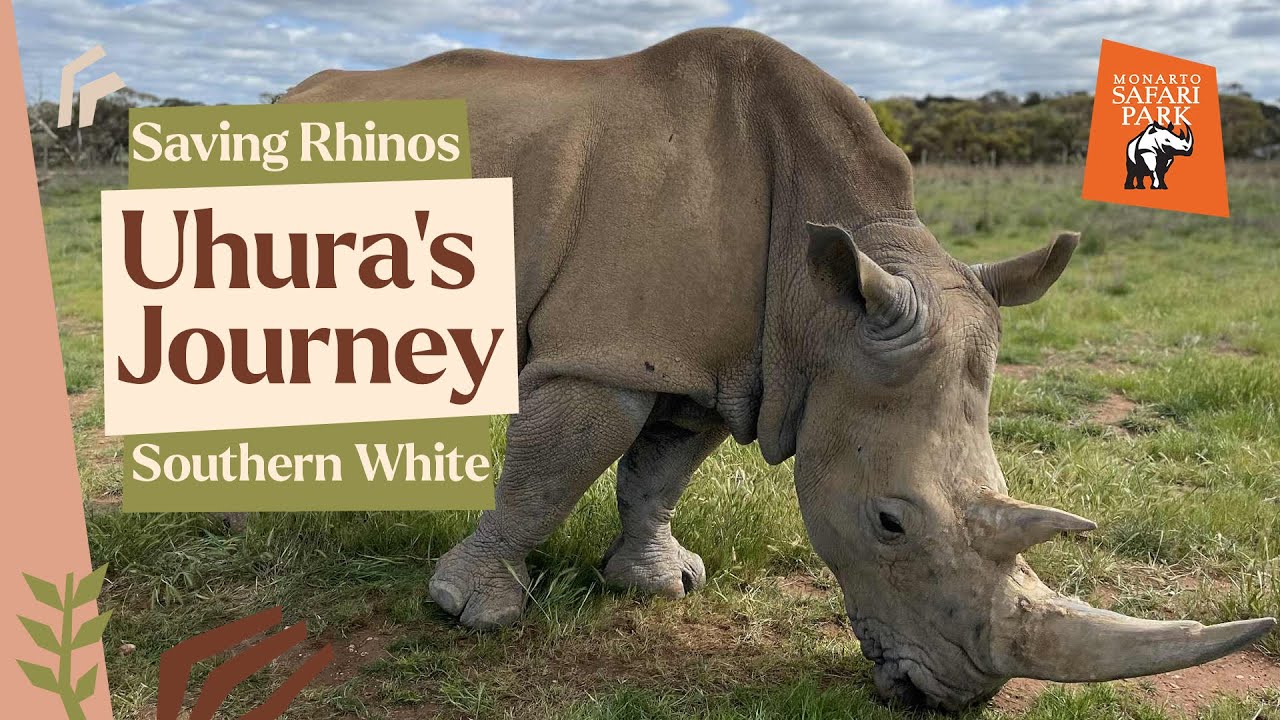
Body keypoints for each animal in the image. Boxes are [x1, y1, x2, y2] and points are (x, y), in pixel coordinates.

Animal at [282, 28, 1273, 710]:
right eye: (888, 524)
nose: (952, 699)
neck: (827, 295)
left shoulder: (720, 361)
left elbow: (658, 470)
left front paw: (658, 583)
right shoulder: (604, 353)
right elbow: (549, 473)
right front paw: (473, 612)